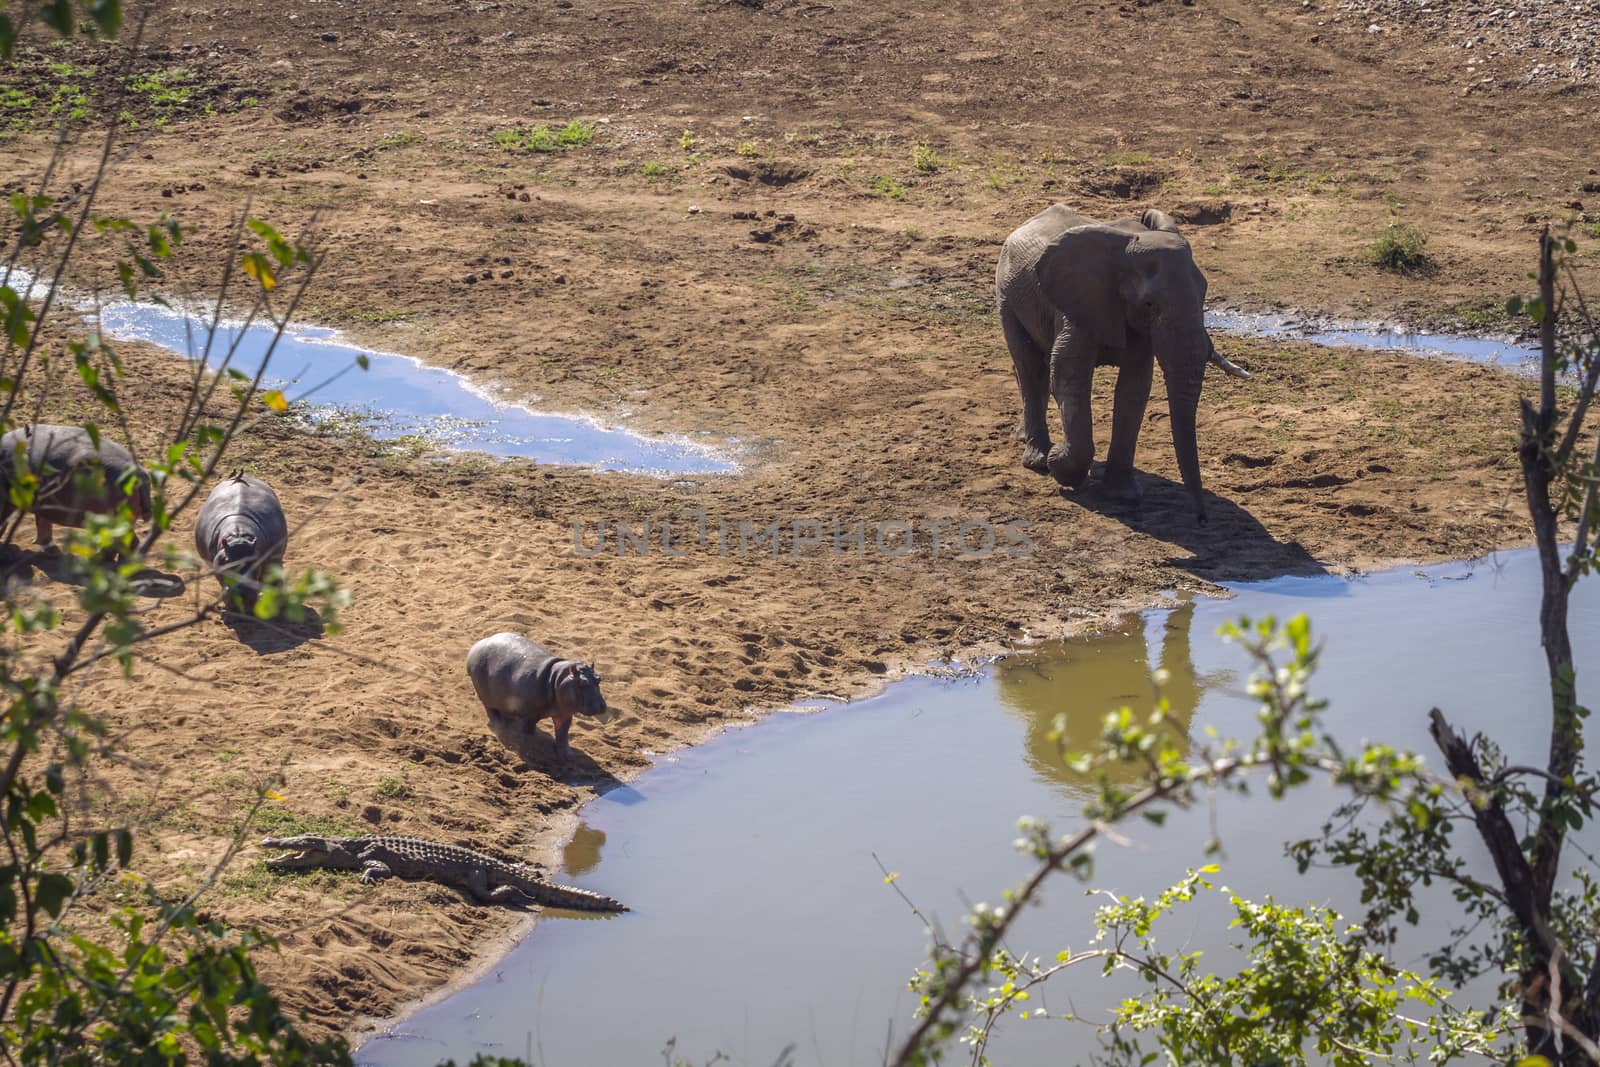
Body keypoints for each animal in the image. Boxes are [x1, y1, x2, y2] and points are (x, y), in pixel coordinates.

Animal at [985, 204, 1248, 521]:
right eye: (1149, 304)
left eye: (1204, 296)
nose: (1201, 519)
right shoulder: (1080, 303)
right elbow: (1067, 374)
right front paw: (1060, 465)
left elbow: (1135, 387)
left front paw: (1122, 495)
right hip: (1006, 292)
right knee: (1030, 366)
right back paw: (1037, 459)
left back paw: (1025, 438)